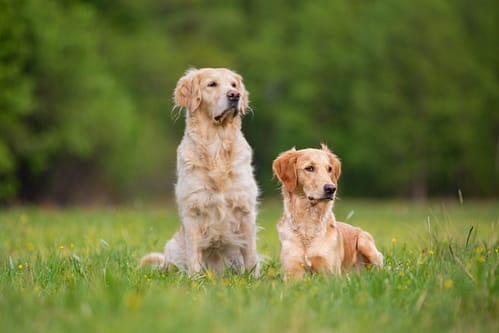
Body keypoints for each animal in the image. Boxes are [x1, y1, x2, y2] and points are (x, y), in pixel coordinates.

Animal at [141, 68, 258, 274]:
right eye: (212, 84)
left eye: (234, 85)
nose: (235, 95)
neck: (217, 145)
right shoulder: (193, 209)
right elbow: (194, 253)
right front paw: (194, 279)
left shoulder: (245, 207)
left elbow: (251, 254)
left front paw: (256, 278)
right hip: (172, 247)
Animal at [274, 144, 382, 278]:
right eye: (309, 168)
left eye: (329, 169)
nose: (331, 188)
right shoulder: (292, 271)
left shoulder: (330, 273)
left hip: (365, 242)